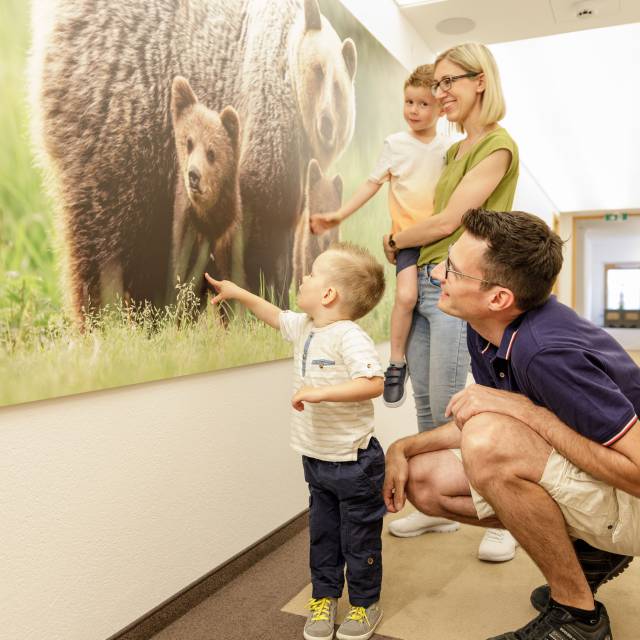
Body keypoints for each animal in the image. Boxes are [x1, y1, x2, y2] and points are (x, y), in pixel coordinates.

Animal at [30, 0, 358, 320]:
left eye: (339, 87)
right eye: (318, 72)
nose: (326, 124)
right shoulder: (267, 130)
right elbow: (258, 233)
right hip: (123, 118)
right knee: (112, 231)